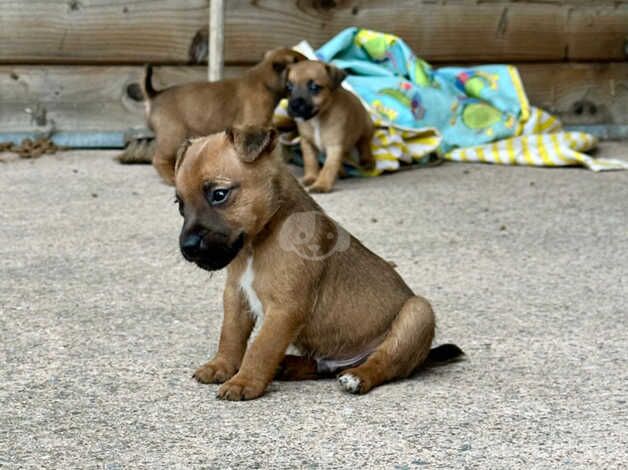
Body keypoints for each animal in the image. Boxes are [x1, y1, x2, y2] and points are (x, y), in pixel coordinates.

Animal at [174, 126, 464, 400]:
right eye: (180, 204)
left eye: (219, 194)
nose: (187, 248)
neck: (258, 242)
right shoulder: (236, 297)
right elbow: (230, 336)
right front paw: (221, 366)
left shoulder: (285, 309)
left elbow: (261, 348)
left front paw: (243, 381)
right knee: (321, 366)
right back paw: (288, 366)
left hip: (418, 313)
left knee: (384, 362)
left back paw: (358, 376)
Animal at [286, 60, 378, 193]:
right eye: (289, 87)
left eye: (314, 87)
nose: (293, 105)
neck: (317, 119)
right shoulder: (307, 143)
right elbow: (310, 162)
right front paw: (311, 178)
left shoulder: (335, 146)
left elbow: (329, 167)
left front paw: (322, 184)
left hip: (366, 125)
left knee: (364, 143)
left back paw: (367, 160)